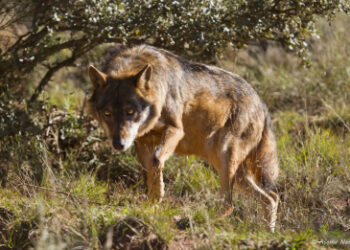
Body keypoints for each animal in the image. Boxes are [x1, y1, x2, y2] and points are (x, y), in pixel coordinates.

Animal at [87, 44, 278, 231]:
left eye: (130, 112)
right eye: (107, 114)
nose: (118, 144)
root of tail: (261, 102)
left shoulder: (176, 130)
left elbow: (156, 160)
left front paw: (158, 194)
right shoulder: (142, 143)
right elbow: (148, 173)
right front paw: (151, 204)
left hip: (226, 157)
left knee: (230, 204)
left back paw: (195, 221)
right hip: (233, 171)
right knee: (271, 197)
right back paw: (269, 232)